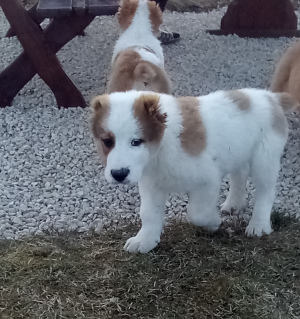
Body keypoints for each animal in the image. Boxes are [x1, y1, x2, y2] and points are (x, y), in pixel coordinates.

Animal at [91, 89, 298, 254]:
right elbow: (148, 213)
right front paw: (145, 240)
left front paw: (213, 222)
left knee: (265, 191)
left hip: (264, 158)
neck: (163, 144)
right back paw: (234, 203)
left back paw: (259, 224)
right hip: (239, 152)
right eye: (107, 141)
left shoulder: (208, 180)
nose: (119, 174)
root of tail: (271, 96)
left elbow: (198, 213)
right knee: (239, 175)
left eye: (136, 141)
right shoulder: (151, 184)